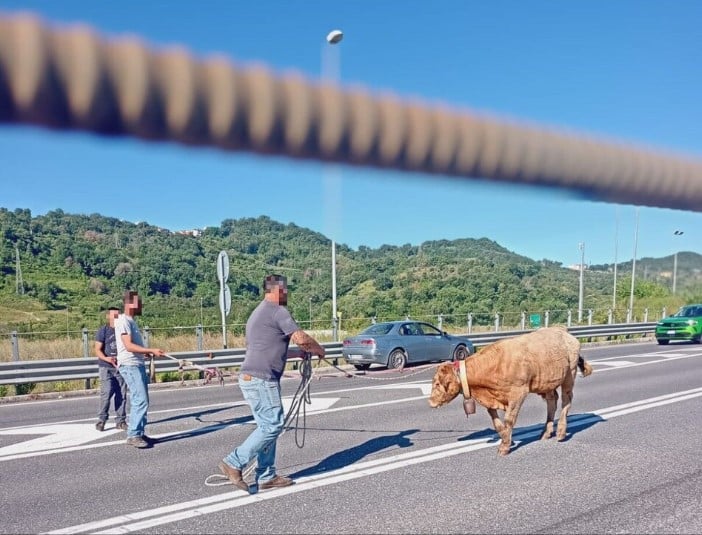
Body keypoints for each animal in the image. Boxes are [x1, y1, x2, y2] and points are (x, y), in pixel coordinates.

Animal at [428, 326, 592, 456]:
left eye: (437, 383)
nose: (430, 402)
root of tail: (562, 330)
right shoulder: (492, 399)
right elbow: (496, 422)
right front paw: (506, 439)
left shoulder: (518, 393)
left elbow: (508, 419)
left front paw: (505, 447)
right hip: (547, 382)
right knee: (552, 401)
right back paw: (546, 432)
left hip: (569, 374)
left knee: (566, 400)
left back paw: (561, 432)